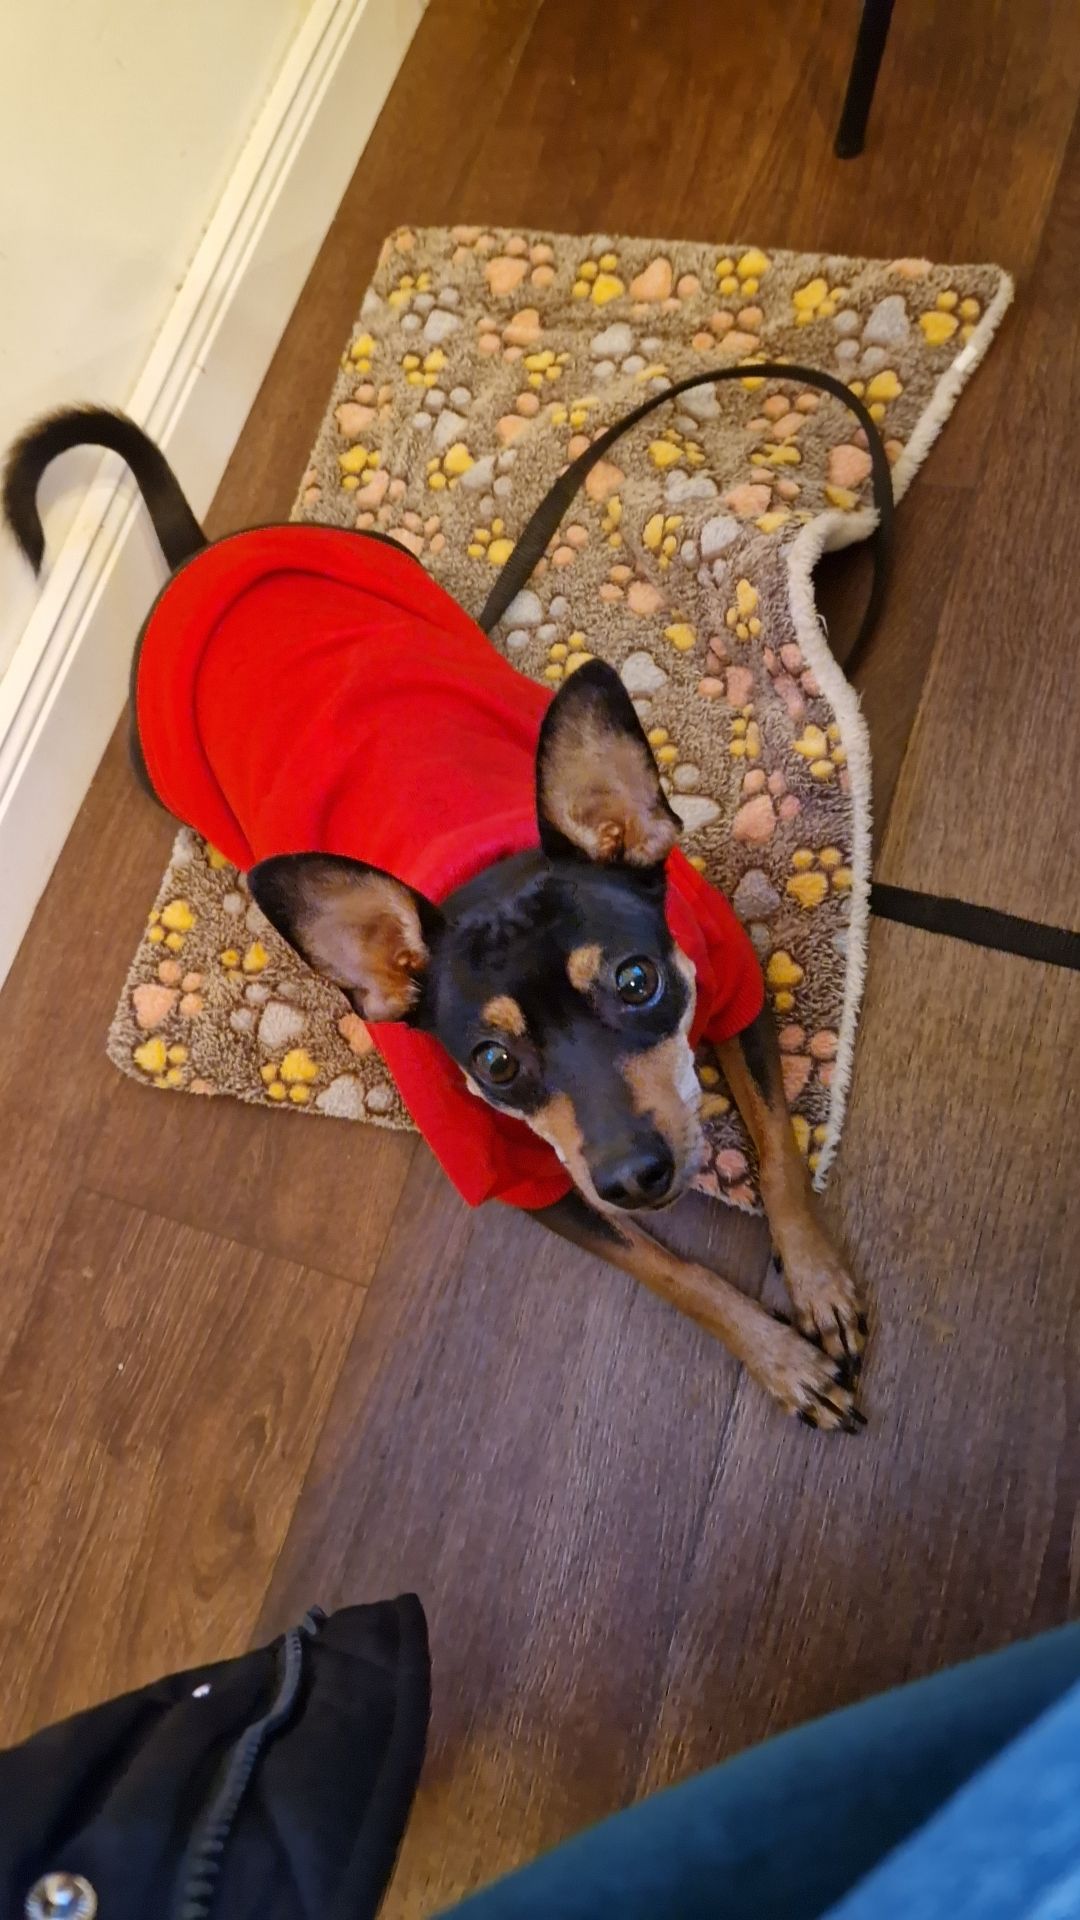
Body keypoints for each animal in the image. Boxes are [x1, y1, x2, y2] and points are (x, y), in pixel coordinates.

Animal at [4, 407, 866, 1431]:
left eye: (636, 980)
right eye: (491, 1066)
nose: (633, 1177)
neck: (478, 862)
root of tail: (200, 553)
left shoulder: (735, 991)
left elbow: (778, 1150)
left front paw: (815, 1285)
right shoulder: (533, 1182)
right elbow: (676, 1275)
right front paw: (781, 1359)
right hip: (164, 769)